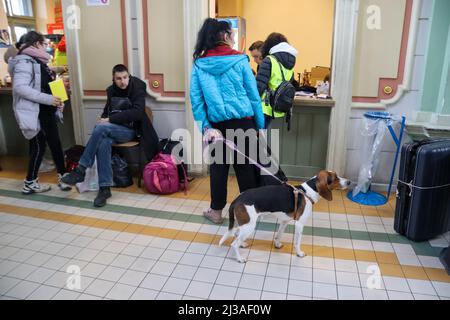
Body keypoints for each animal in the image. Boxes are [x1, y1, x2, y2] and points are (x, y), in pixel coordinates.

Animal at [220, 171, 350, 264]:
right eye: (335, 178)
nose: (349, 182)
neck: (307, 192)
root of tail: (237, 199)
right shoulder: (299, 224)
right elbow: (297, 242)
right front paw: (299, 253)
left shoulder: (284, 221)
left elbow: (279, 235)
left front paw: (277, 245)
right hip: (250, 226)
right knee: (234, 244)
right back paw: (239, 258)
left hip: (244, 223)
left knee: (236, 233)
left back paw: (242, 244)